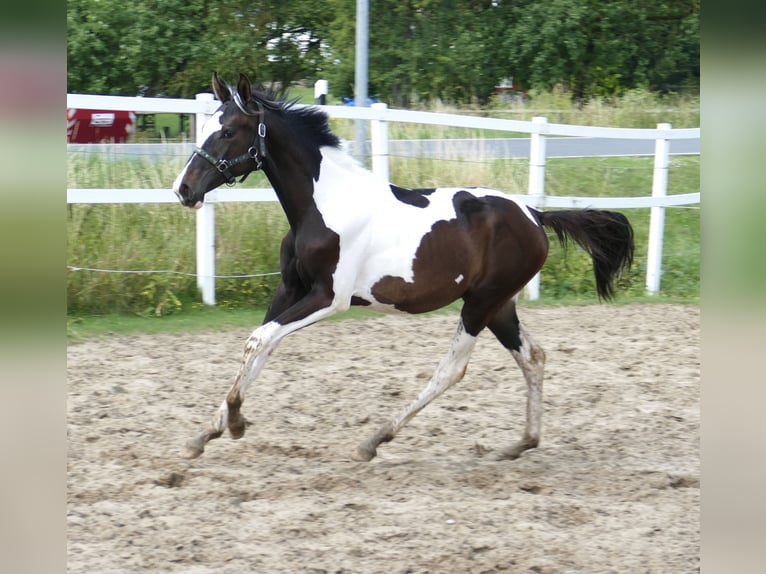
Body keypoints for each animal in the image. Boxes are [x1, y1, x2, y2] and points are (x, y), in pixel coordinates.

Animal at [172, 74, 636, 466]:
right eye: (204, 126)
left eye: (228, 131)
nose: (183, 190)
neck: (324, 204)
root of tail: (535, 215)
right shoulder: (289, 289)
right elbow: (260, 345)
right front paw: (206, 434)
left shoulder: (330, 298)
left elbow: (258, 339)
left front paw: (233, 422)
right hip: (499, 304)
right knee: (533, 356)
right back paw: (521, 443)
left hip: (481, 303)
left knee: (453, 369)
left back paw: (374, 441)